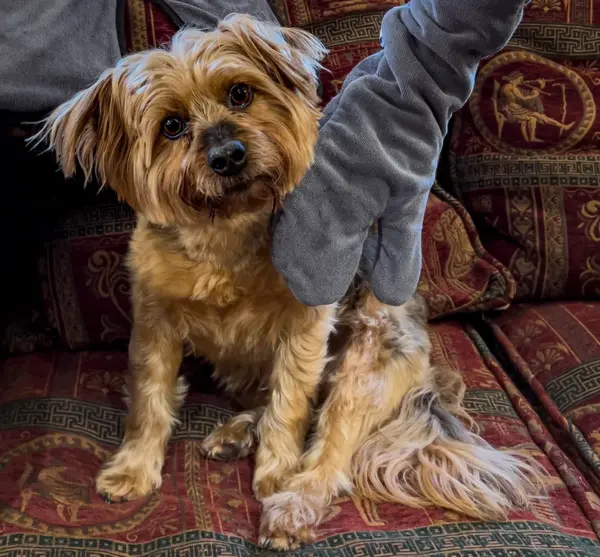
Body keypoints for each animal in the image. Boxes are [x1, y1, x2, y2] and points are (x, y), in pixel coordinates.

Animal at [36, 15, 544, 548]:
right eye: (171, 126)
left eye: (240, 93)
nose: (229, 155)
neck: (225, 229)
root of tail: (427, 379)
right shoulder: (155, 319)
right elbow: (149, 396)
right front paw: (133, 468)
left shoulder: (305, 325)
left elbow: (291, 403)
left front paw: (276, 474)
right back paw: (236, 433)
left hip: (365, 364)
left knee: (330, 445)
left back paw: (291, 504)